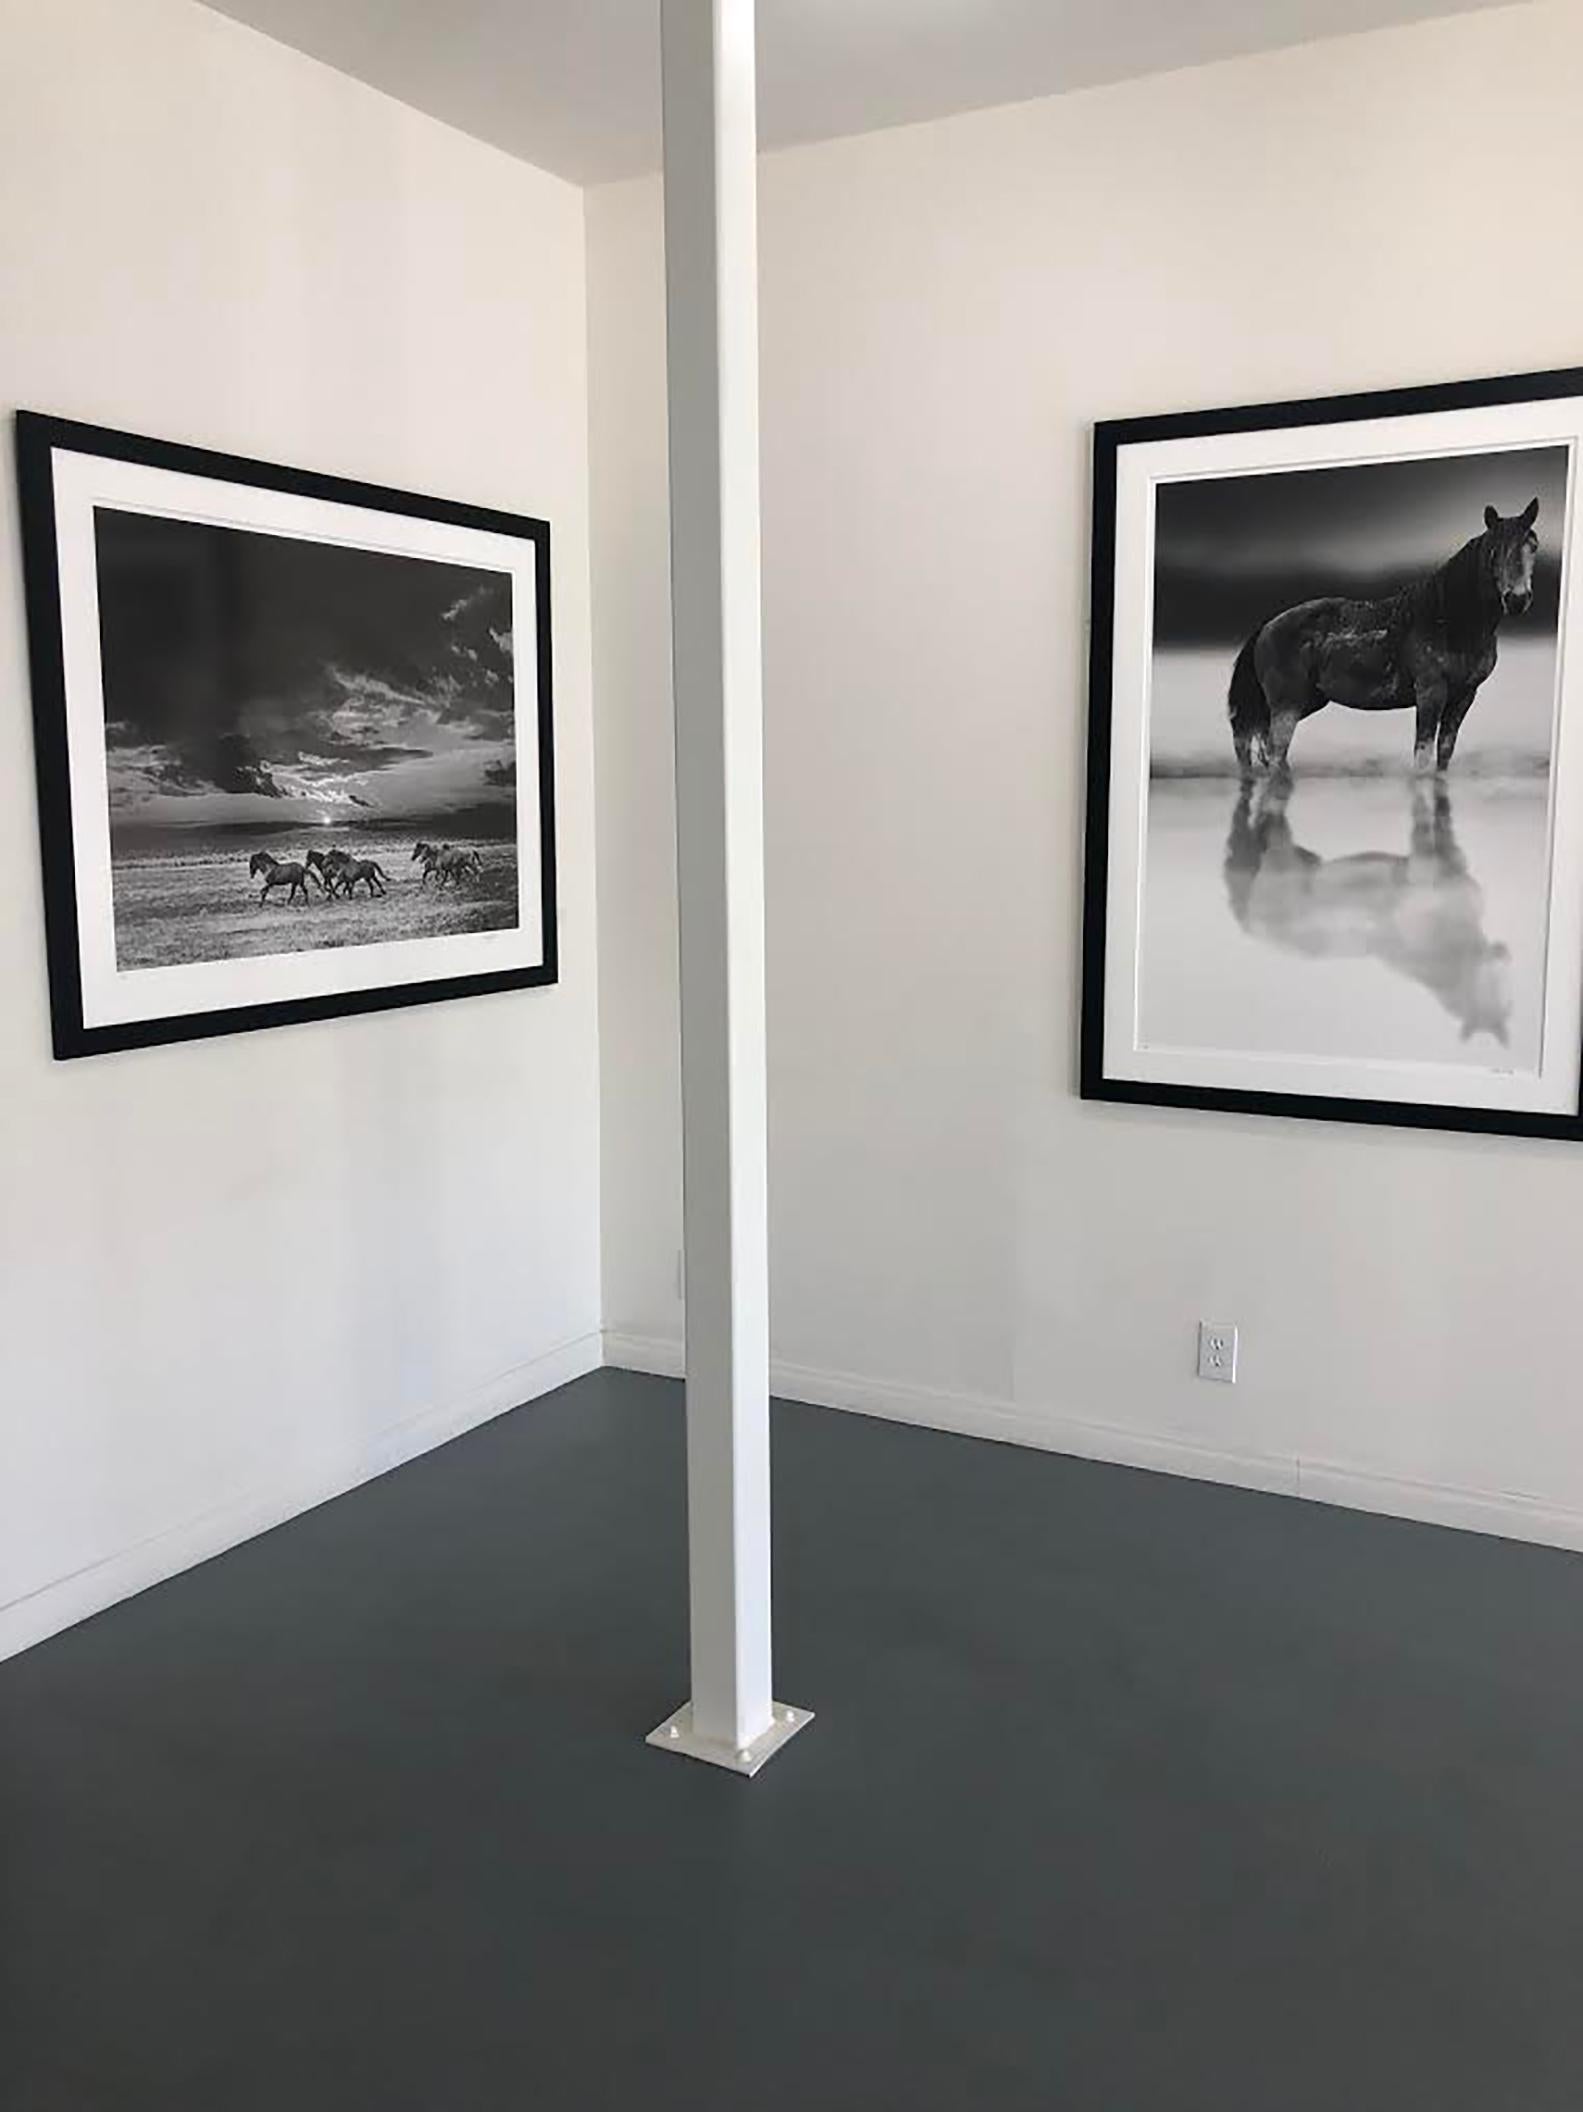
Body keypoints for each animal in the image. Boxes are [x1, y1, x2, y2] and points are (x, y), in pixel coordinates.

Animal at [1224, 772, 1511, 1043]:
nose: (1503, 952)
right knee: (1271, 822)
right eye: (1493, 1002)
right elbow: (1422, 817)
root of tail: (1253, 928)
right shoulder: (1422, 866)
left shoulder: (1448, 857)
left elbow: (1443, 821)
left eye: (1507, 1005)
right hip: (1282, 859)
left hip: (1302, 858)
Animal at [1232, 498, 1545, 781]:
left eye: (1532, 546)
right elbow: (1422, 756)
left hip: (1303, 703)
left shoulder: (1464, 696)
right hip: (1287, 706)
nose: (1517, 599)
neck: (1449, 622)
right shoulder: (1430, 693)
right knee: (1273, 755)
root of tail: (1266, 627)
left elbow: (1444, 754)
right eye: (1495, 551)